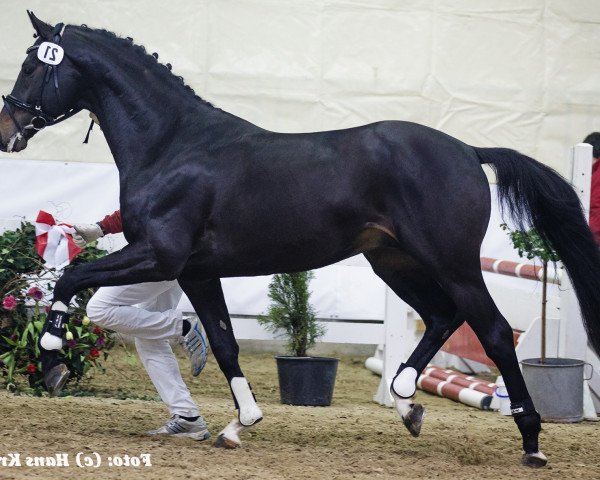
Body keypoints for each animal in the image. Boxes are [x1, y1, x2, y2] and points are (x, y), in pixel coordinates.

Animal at [1, 11, 600, 466]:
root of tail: (468, 151)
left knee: (493, 332)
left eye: (32, 65)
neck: (173, 145)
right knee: (441, 316)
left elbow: (71, 277)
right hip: (393, 261)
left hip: (452, 263)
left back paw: (531, 442)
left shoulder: (159, 256)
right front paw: (240, 424)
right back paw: (407, 402)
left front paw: (52, 361)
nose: (7, 132)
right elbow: (222, 341)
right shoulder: (196, 270)